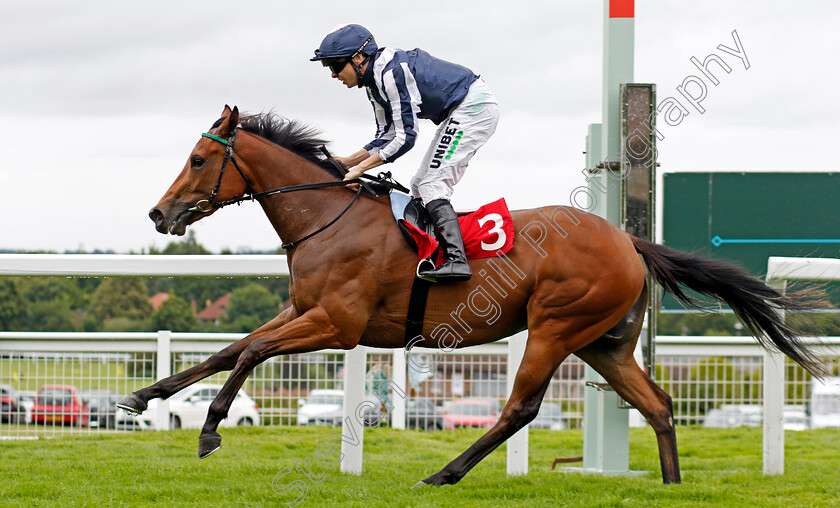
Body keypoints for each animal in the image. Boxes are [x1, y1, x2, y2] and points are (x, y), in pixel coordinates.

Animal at [120, 106, 828, 484]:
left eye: (197, 160)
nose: (158, 213)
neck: (328, 217)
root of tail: (630, 243)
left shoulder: (337, 323)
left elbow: (248, 353)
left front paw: (209, 430)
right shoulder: (302, 310)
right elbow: (229, 349)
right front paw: (146, 396)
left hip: (555, 326)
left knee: (520, 408)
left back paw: (445, 472)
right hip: (603, 343)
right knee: (657, 403)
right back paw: (671, 484)